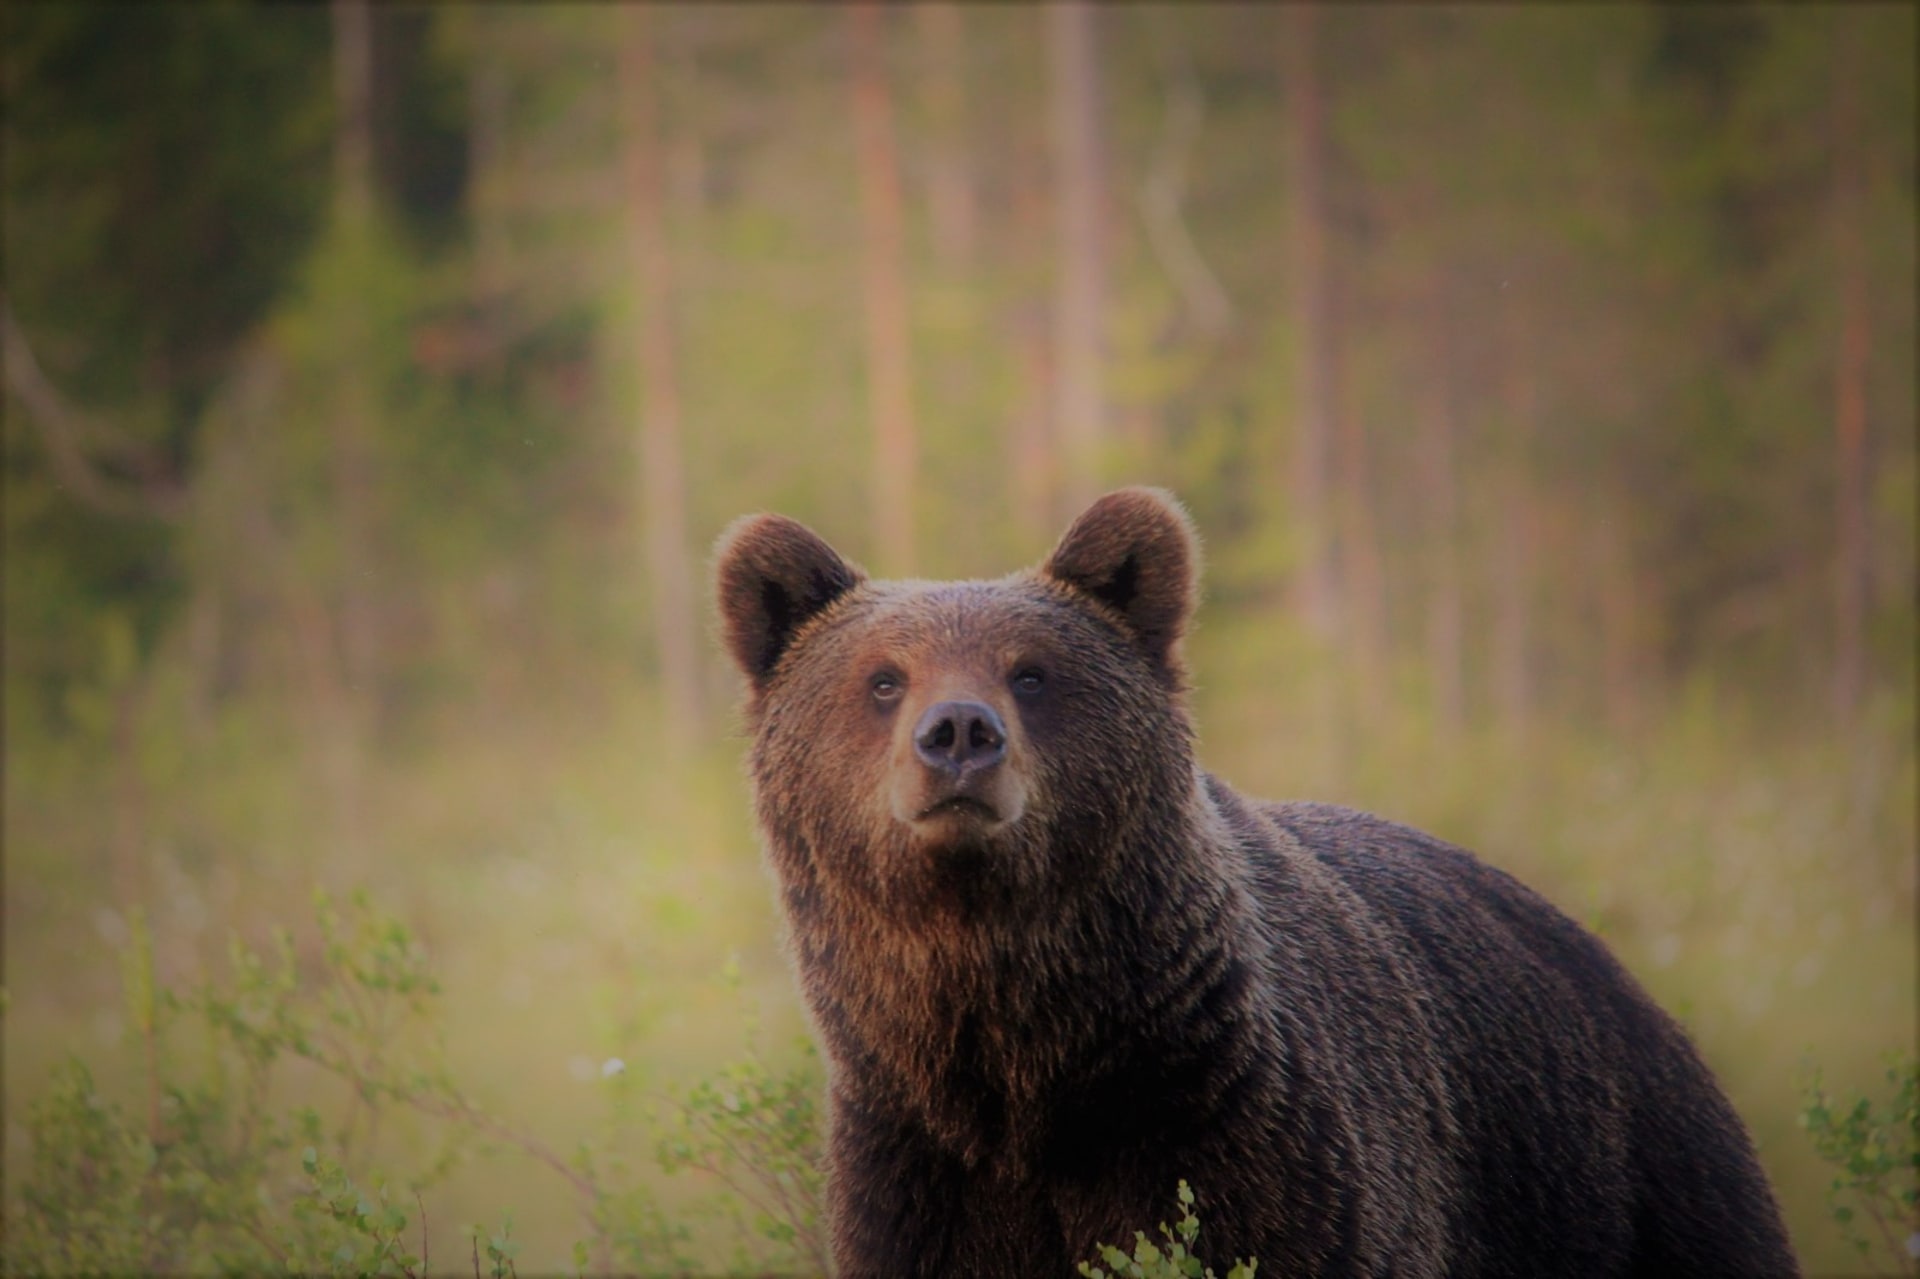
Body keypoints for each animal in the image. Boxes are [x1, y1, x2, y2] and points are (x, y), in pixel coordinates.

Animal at [710, 483, 1797, 1267]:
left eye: (1030, 671)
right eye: (883, 678)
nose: (960, 734)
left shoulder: (1246, 1135)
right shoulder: (917, 1162)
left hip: (1635, 1181)